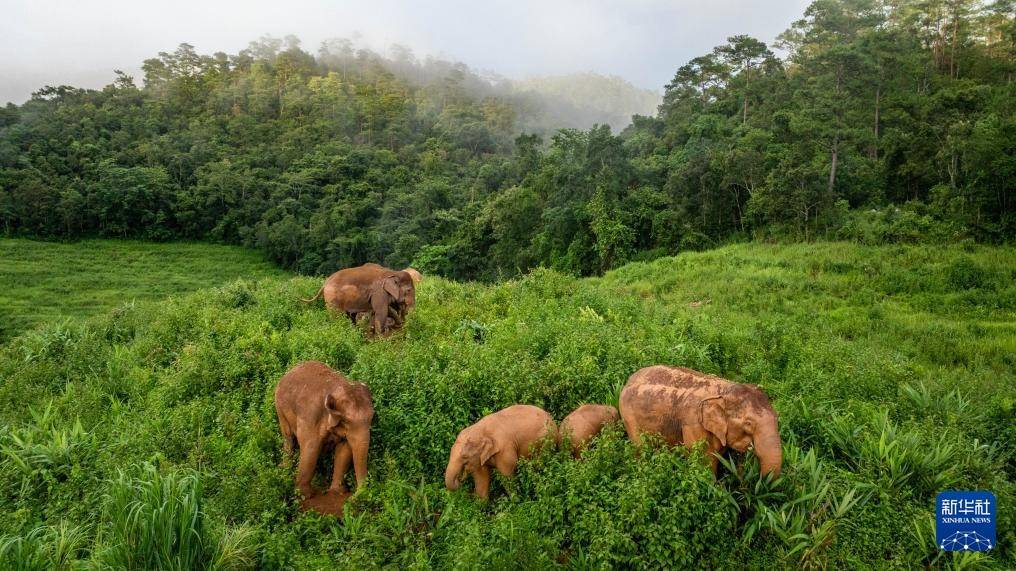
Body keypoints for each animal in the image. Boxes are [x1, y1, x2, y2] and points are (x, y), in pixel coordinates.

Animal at [274, 359, 373, 497]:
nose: (356, 494)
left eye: (372, 417)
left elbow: (344, 450)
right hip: (279, 407)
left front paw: (337, 492)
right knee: (288, 437)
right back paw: (285, 471)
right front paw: (306, 495)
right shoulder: (310, 416)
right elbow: (311, 448)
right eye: (346, 421)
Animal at [613, 363, 780, 475]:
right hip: (628, 416)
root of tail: (628, 380)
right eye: (748, 423)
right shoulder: (693, 425)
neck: (724, 389)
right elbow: (704, 463)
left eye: (777, 417)